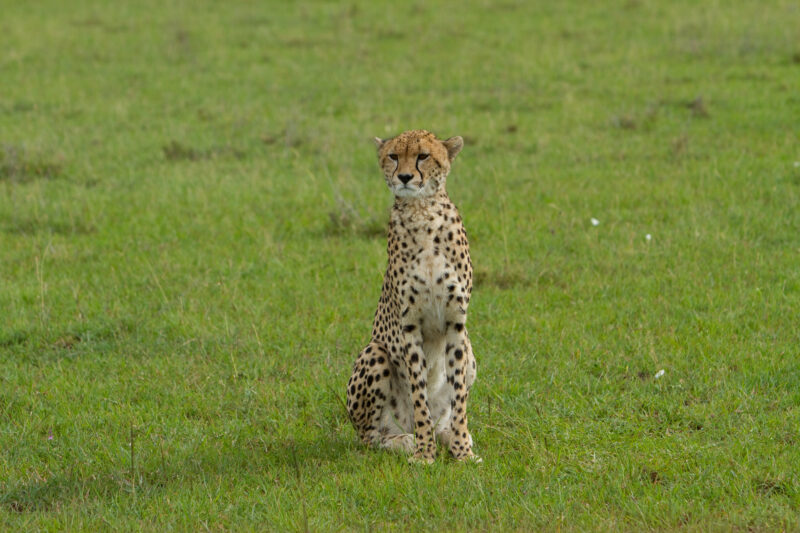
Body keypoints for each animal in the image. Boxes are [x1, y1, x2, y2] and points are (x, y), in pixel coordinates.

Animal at [346, 129, 480, 464]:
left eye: (423, 156)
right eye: (394, 156)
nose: (405, 177)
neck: (423, 212)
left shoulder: (456, 323)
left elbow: (459, 396)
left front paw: (462, 451)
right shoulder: (410, 325)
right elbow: (419, 394)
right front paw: (424, 454)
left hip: (471, 351)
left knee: (445, 415)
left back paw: (448, 436)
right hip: (374, 352)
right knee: (371, 437)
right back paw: (405, 440)